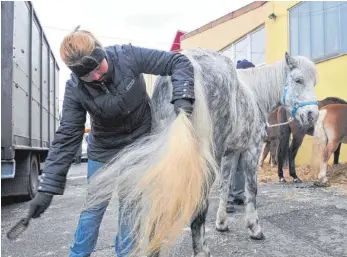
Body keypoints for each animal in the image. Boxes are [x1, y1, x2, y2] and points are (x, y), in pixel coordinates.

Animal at [85, 49, 320, 255]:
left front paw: (222, 223)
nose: (313, 115)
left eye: (315, 82)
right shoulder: (251, 149)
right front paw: (255, 229)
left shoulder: (230, 153)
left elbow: (225, 186)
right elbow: (251, 189)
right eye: (298, 80)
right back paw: (201, 250)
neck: (254, 93)